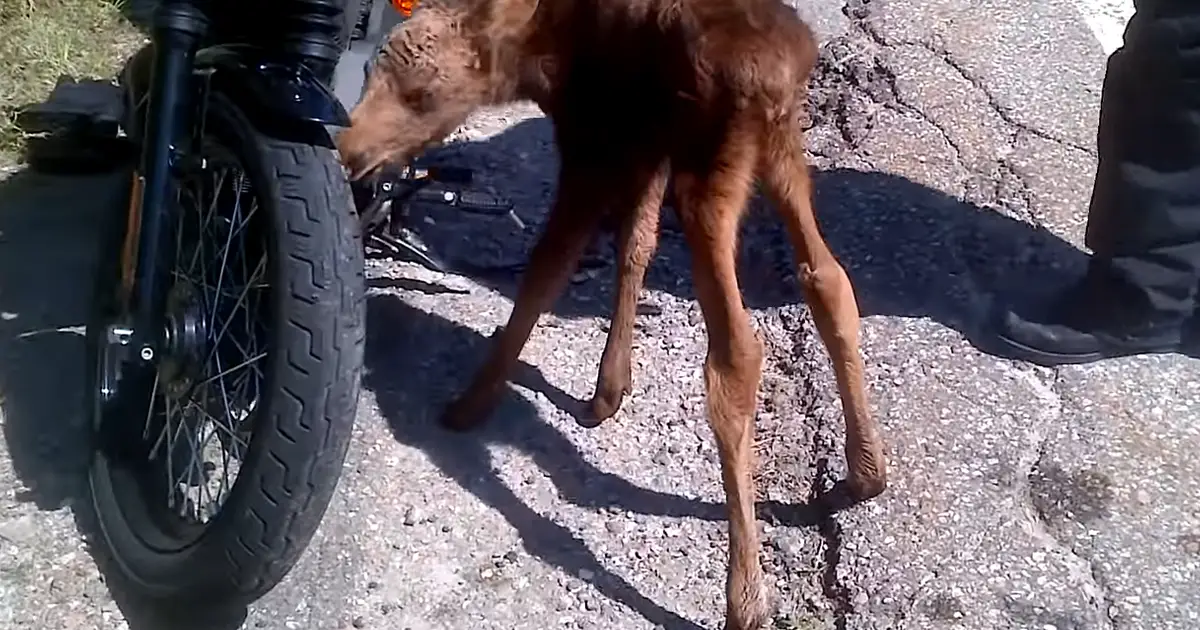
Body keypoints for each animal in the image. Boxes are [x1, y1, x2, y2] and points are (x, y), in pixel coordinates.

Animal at [333, 2, 888, 624]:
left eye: (422, 95)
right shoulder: (641, 148)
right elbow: (636, 242)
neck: (535, 55)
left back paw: (745, 594)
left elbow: (547, 268)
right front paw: (608, 389)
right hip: (780, 148)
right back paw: (867, 470)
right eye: (374, 73)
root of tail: (777, 72)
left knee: (736, 354)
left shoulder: (592, 148)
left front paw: (476, 397)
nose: (349, 151)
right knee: (828, 280)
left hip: (709, 172)